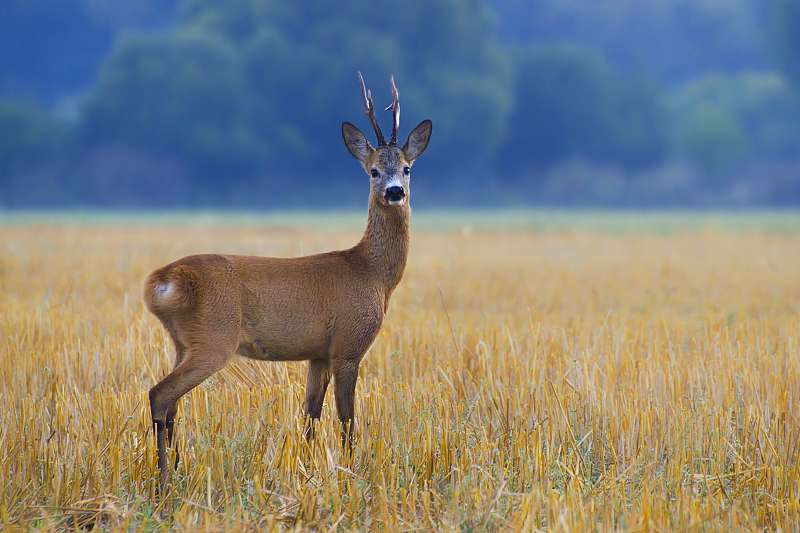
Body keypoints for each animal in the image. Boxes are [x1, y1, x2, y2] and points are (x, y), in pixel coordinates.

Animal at [144, 72, 432, 488]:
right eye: (374, 170)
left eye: (408, 167)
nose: (395, 192)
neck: (372, 273)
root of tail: (163, 280)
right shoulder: (348, 344)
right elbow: (347, 418)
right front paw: (351, 474)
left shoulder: (318, 352)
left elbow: (310, 414)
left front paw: (306, 474)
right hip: (214, 338)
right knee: (160, 395)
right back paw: (165, 480)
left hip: (182, 342)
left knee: (173, 406)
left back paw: (177, 472)